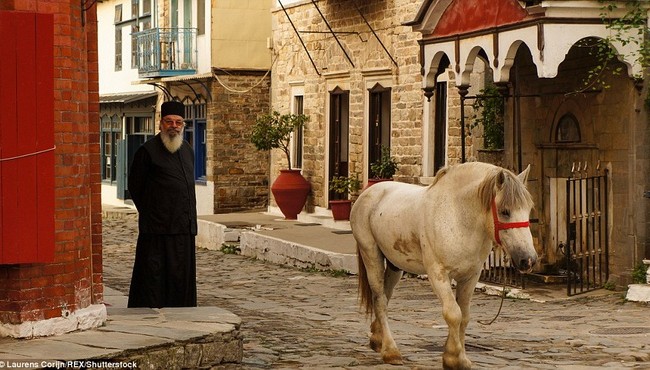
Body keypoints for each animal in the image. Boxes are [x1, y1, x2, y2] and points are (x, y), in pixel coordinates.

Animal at [350, 163, 536, 370]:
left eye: (528, 209)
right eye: (505, 211)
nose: (528, 260)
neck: (457, 217)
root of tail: (368, 192)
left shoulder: (471, 276)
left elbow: (464, 315)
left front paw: (458, 357)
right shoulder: (438, 274)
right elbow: (453, 313)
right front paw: (454, 358)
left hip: (394, 265)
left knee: (385, 295)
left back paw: (377, 339)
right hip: (371, 255)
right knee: (380, 300)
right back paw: (391, 351)